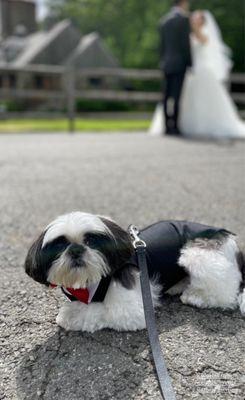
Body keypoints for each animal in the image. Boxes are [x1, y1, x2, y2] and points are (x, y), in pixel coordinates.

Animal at [23, 212, 244, 332]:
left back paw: (196, 296)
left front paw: (71, 314)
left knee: (225, 294)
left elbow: (96, 311)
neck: (91, 283)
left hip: (197, 254)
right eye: (60, 245)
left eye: (91, 240)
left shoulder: (132, 311)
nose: (76, 250)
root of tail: (232, 242)